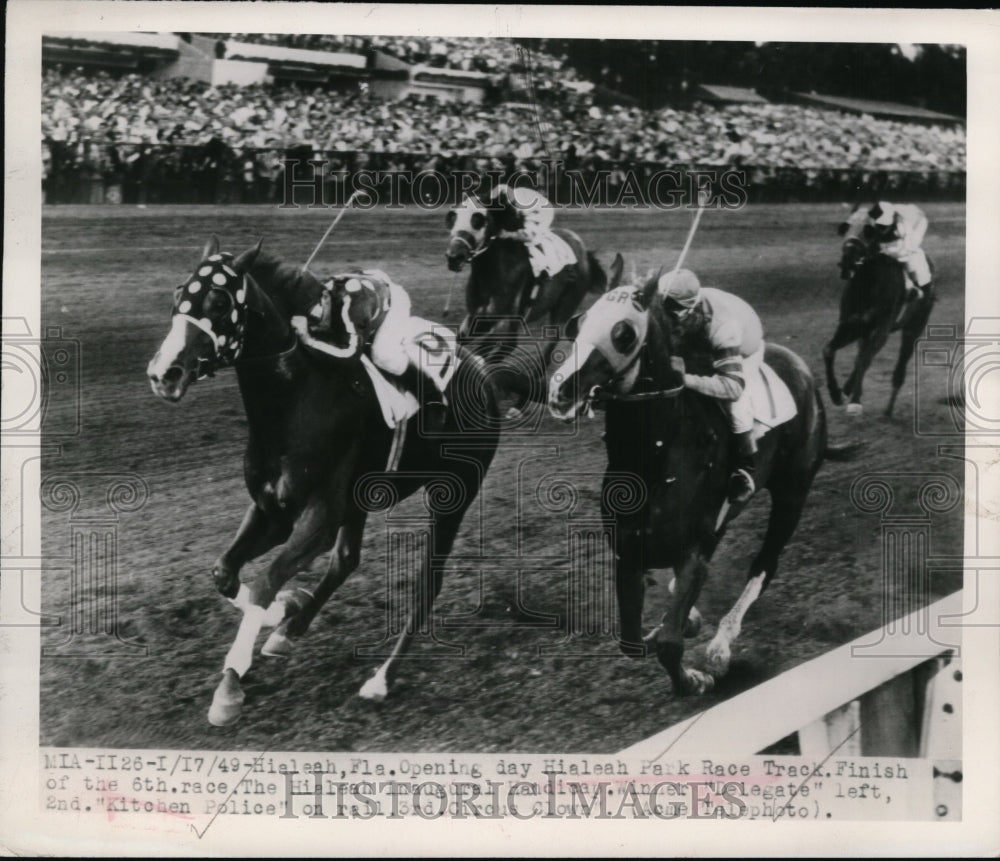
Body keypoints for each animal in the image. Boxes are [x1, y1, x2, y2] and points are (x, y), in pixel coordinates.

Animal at [146, 237, 500, 724]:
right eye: (178, 294)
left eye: (219, 302)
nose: (164, 374)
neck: (294, 401)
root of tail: (484, 370)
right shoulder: (272, 509)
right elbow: (225, 573)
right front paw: (281, 611)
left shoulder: (320, 514)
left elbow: (264, 582)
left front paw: (230, 685)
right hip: (364, 499)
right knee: (346, 560)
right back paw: (289, 630)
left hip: (452, 496)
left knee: (429, 582)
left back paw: (380, 679)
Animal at [448, 193, 608, 408]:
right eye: (453, 217)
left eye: (478, 219)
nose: (454, 256)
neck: (492, 273)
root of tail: (584, 251)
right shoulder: (476, 318)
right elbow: (464, 346)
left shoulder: (506, 326)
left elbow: (489, 355)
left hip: (563, 309)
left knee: (545, 357)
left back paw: (521, 404)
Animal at [544, 260, 856, 692]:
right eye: (578, 322)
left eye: (623, 334)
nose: (560, 392)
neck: (655, 460)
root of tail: (800, 368)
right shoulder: (629, 551)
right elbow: (632, 641)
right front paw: (674, 624)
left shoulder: (694, 550)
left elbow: (670, 643)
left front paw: (694, 679)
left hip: (793, 492)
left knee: (765, 564)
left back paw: (721, 645)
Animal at [824, 205, 932, 416]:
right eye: (845, 227)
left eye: (869, 230)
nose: (847, 261)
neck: (867, 284)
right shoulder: (851, 324)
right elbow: (829, 350)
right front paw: (837, 393)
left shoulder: (882, 329)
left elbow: (865, 359)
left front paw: (855, 401)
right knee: (862, 353)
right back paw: (847, 388)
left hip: (914, 326)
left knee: (896, 366)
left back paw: (888, 410)